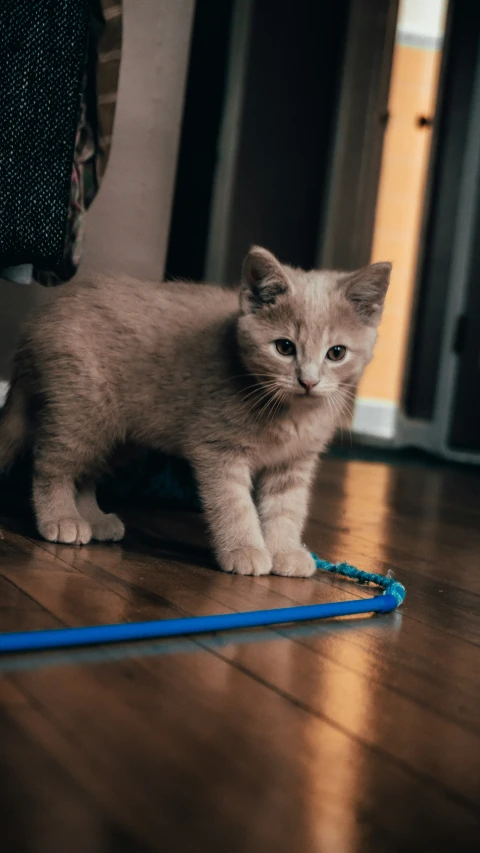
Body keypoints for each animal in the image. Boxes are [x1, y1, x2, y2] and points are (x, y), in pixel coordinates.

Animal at [0, 248, 390, 580]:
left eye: (336, 353)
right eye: (284, 347)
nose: (308, 381)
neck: (291, 414)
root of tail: (38, 321)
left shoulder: (293, 464)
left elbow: (286, 509)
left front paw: (284, 551)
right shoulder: (219, 449)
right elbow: (234, 505)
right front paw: (245, 549)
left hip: (119, 436)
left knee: (85, 472)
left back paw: (94, 518)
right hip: (82, 413)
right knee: (51, 464)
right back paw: (61, 517)